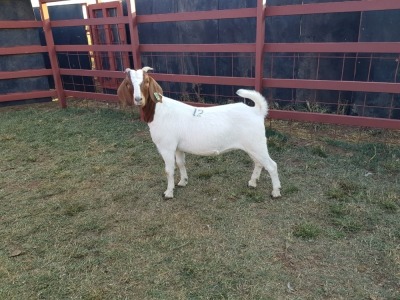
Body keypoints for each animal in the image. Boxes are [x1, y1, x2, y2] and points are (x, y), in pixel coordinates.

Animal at [122, 67, 282, 200]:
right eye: (129, 84)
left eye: (146, 82)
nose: (138, 99)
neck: (159, 111)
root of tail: (257, 111)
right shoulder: (178, 147)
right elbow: (181, 163)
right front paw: (182, 182)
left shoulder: (166, 147)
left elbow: (169, 170)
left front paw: (168, 193)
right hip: (252, 146)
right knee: (259, 163)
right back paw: (252, 183)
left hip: (257, 144)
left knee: (272, 165)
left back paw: (276, 192)